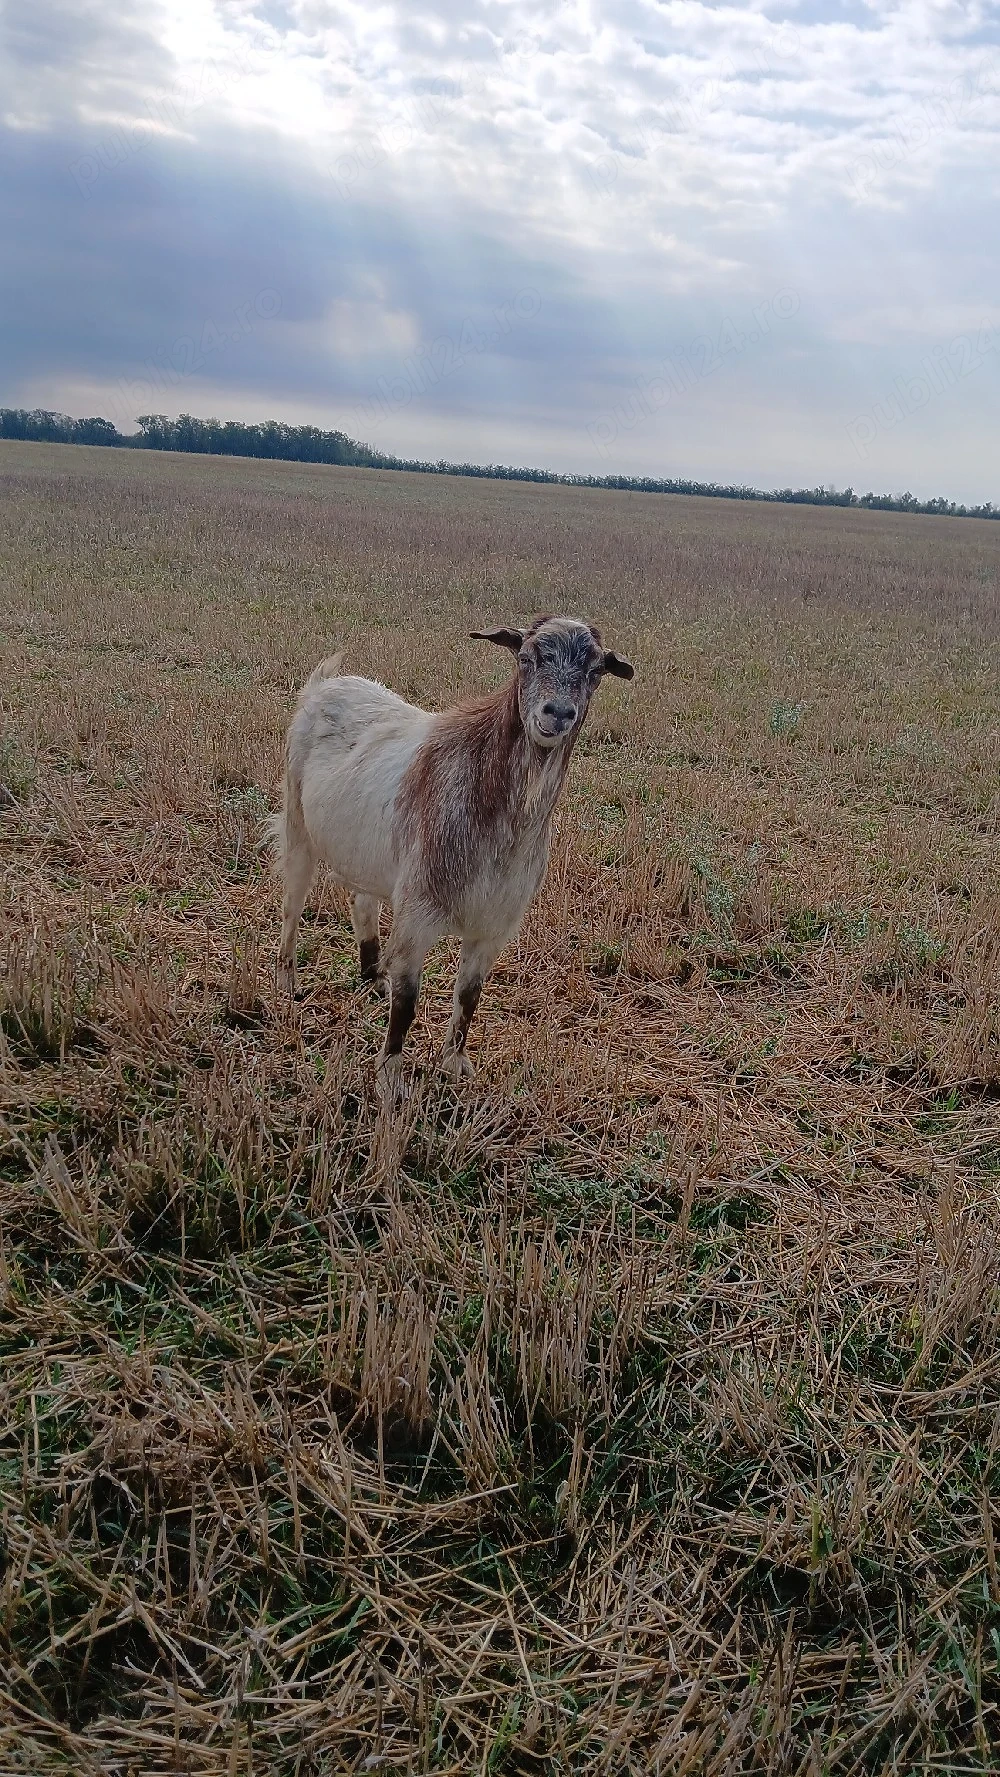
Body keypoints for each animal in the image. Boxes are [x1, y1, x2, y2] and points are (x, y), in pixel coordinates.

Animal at [271, 614, 634, 1096]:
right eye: (527, 658)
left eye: (595, 672)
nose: (557, 713)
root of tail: (324, 685)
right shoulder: (419, 912)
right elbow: (408, 1000)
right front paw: (391, 1077)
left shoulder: (494, 925)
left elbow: (470, 993)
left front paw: (454, 1061)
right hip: (298, 826)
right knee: (292, 905)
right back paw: (288, 980)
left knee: (363, 901)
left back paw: (373, 976)